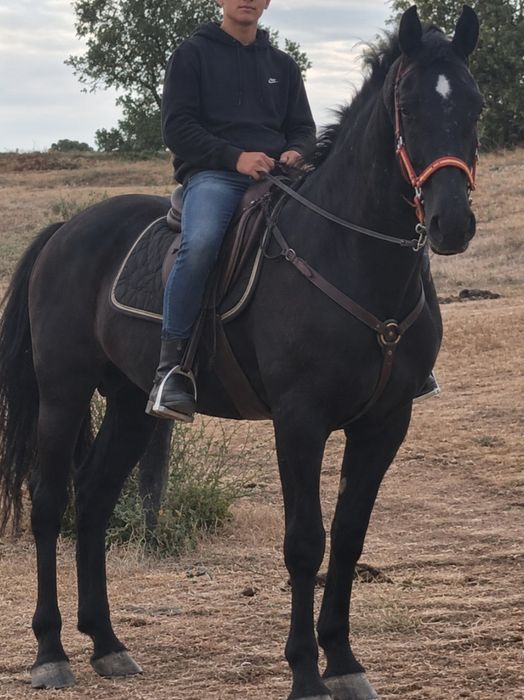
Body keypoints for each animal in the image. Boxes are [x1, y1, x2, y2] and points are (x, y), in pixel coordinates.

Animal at [0, 6, 482, 699]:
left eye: (474, 105)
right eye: (410, 108)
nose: (452, 224)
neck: (350, 253)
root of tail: (67, 229)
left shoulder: (386, 422)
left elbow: (350, 537)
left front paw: (344, 662)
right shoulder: (300, 421)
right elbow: (305, 542)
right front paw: (306, 672)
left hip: (129, 403)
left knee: (91, 501)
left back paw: (108, 644)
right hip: (62, 394)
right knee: (48, 505)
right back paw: (51, 652)